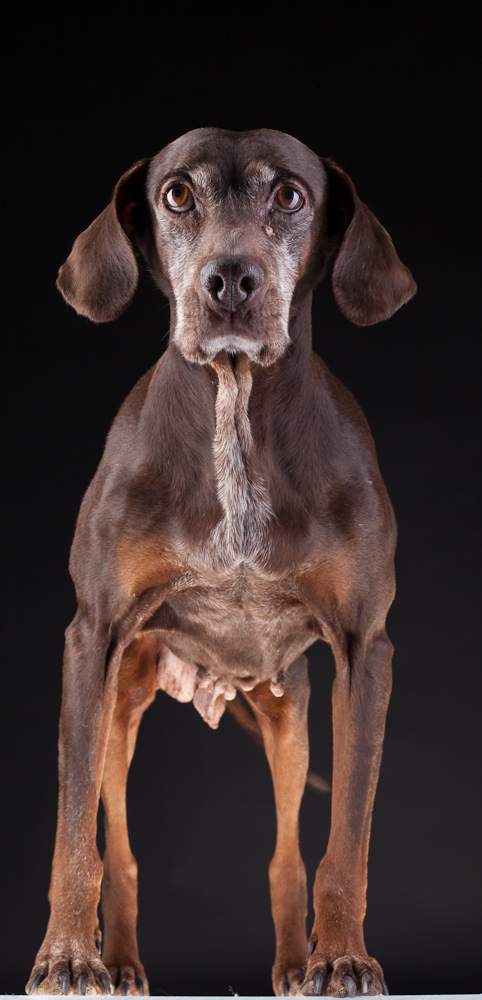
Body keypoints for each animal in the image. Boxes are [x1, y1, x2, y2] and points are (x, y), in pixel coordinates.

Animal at [26, 129, 416, 996]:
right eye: (177, 195)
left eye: (289, 196)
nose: (230, 280)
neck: (234, 413)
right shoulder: (91, 640)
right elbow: (74, 837)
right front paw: (65, 955)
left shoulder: (363, 653)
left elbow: (347, 841)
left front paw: (344, 956)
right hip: (122, 698)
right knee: (120, 850)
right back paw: (118, 961)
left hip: (289, 711)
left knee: (286, 858)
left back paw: (298, 963)